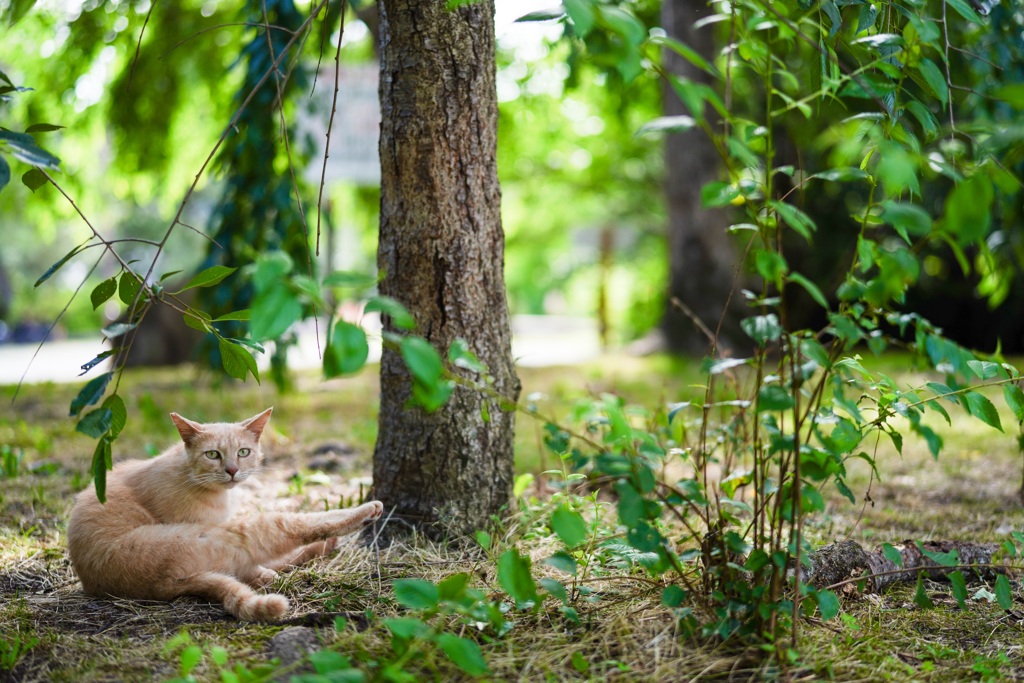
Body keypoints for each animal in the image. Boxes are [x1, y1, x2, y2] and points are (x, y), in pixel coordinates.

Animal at [66, 409, 385, 622]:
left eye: (243, 452)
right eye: (213, 454)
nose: (232, 470)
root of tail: (160, 587)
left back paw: (321, 548)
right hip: (227, 535)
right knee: (289, 532)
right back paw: (363, 513)